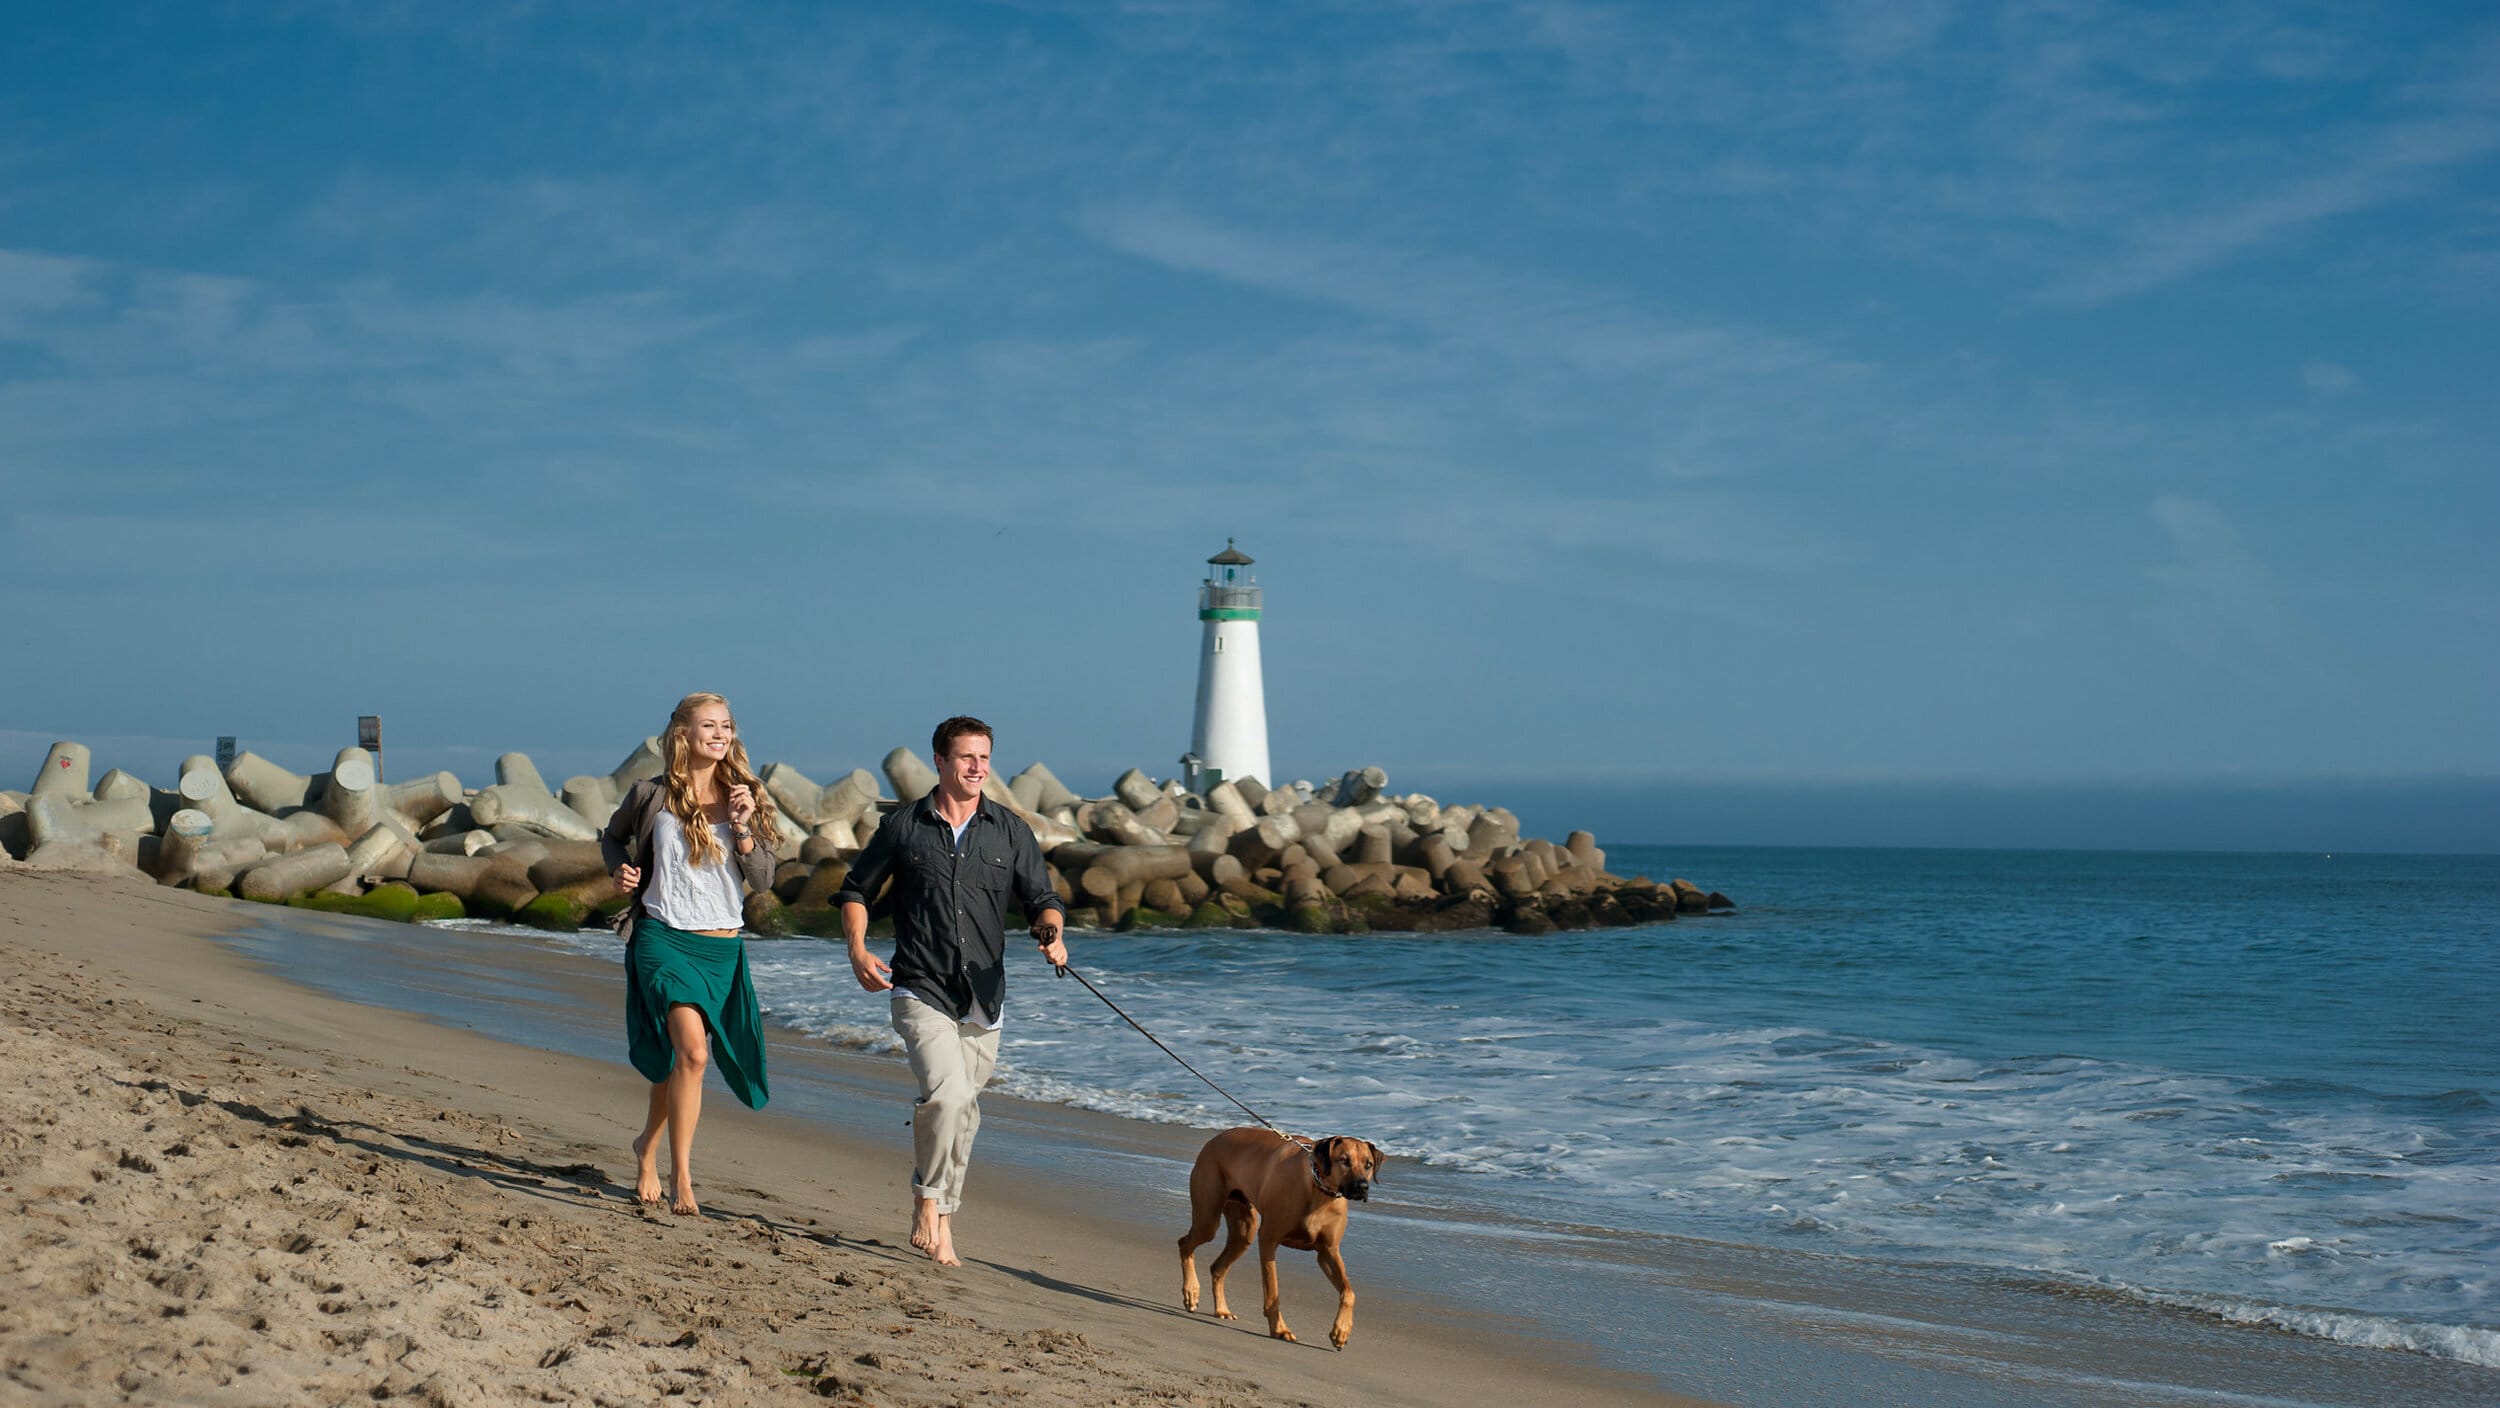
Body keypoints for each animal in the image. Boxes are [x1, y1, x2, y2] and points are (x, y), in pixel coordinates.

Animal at [1175, 1130, 1390, 1350]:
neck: (1319, 1191)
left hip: (1244, 1232)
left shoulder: (1328, 1251)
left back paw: (1221, 1310)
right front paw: (1280, 1329)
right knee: (1185, 1243)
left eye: (1368, 1164)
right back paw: (1191, 1291)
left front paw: (1341, 1331)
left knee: (1217, 1267)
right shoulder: (1268, 1240)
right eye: (1344, 1160)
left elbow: (1349, 1293)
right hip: (1208, 1218)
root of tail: (1216, 1138)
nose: (1362, 1186)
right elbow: (1272, 1291)